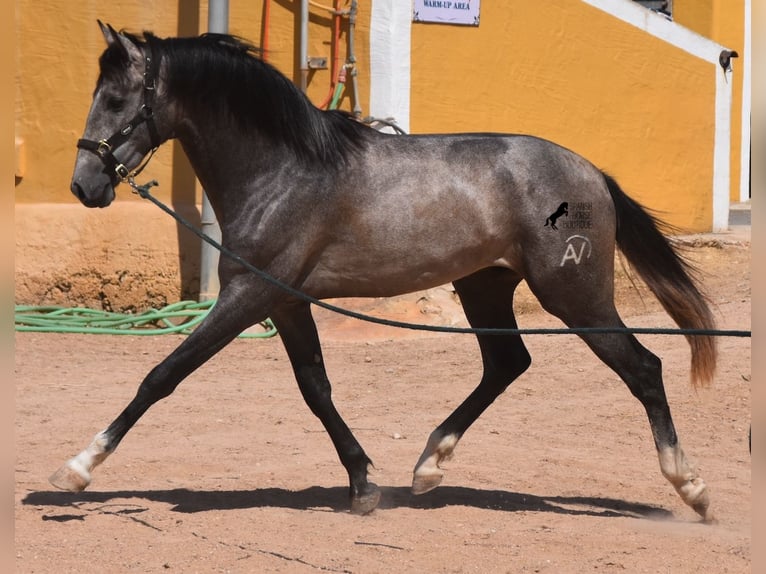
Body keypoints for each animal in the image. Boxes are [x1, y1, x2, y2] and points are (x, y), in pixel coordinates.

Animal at [55, 22, 720, 520]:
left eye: (115, 99)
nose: (84, 187)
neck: (283, 169)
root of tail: (591, 172)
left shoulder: (248, 295)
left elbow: (163, 375)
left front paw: (79, 467)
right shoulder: (285, 301)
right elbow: (316, 389)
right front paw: (363, 484)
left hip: (574, 295)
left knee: (643, 368)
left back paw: (691, 486)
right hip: (484, 286)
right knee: (507, 364)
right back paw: (428, 467)